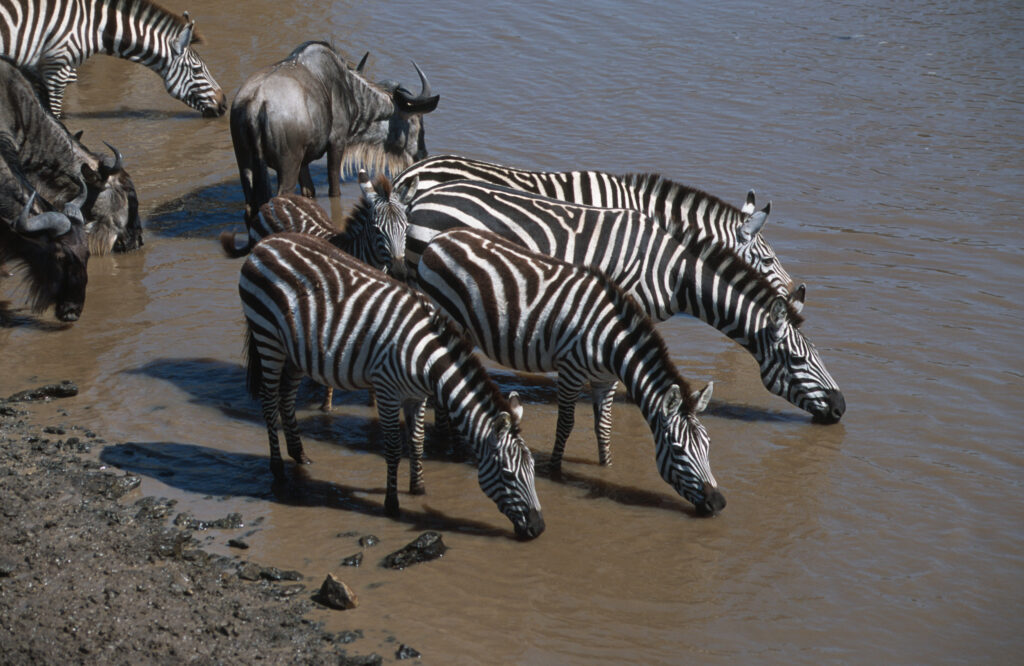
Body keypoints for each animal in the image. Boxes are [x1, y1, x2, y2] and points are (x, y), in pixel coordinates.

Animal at [0, 0, 224, 116]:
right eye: (197, 70)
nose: (224, 104)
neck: (92, 28)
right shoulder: (57, 68)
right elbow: (54, 114)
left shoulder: (39, 69)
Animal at [238, 230, 544, 536]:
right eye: (508, 474)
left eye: (532, 469)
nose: (539, 528)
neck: (426, 359)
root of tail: (267, 242)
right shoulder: (386, 391)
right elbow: (395, 449)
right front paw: (392, 503)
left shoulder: (417, 395)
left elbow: (417, 442)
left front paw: (418, 489)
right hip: (268, 337)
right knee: (268, 402)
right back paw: (277, 467)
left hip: (295, 351)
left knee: (286, 398)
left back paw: (300, 455)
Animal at [411, 226, 724, 514]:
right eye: (678, 449)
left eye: (709, 444)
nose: (718, 503)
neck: (611, 342)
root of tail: (440, 239)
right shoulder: (570, 370)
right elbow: (566, 424)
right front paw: (555, 469)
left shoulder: (605, 380)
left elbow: (604, 426)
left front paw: (606, 467)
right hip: (449, 323)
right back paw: (452, 447)